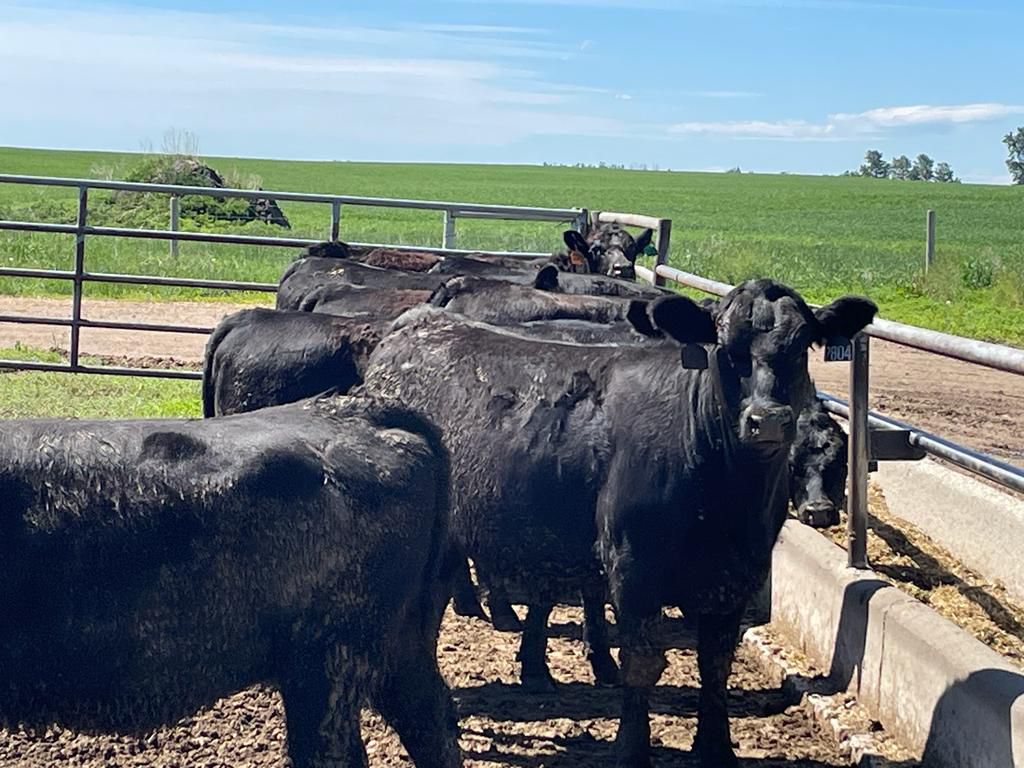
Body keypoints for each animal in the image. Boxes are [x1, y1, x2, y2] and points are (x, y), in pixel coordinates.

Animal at [359, 279, 876, 767]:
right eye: (725, 348)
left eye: (801, 344)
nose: (766, 420)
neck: (724, 497)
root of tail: (416, 324)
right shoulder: (633, 567)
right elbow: (641, 662)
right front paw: (632, 750)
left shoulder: (736, 575)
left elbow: (715, 666)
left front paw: (717, 750)